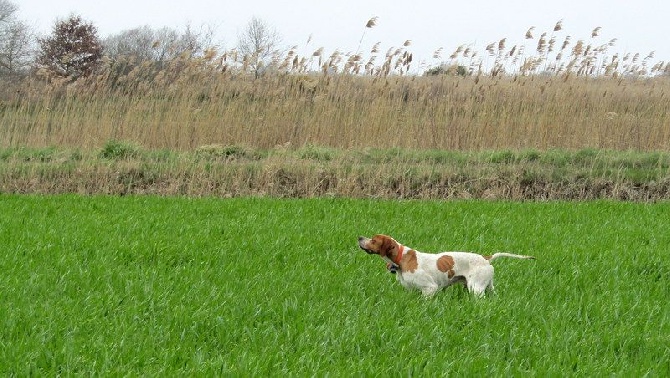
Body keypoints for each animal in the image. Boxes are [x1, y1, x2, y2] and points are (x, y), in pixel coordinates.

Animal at [360, 233, 540, 298]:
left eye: (373, 240)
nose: (359, 238)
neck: (401, 258)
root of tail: (486, 258)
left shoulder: (430, 288)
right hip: (488, 287)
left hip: (476, 288)